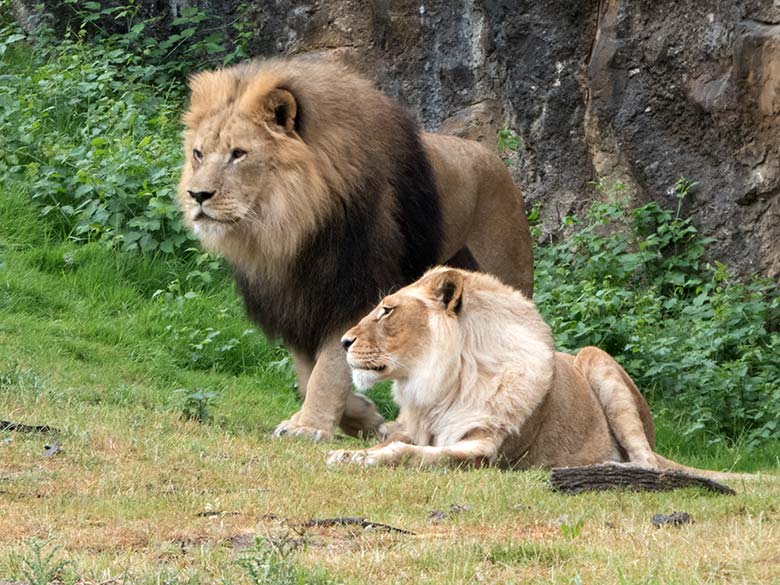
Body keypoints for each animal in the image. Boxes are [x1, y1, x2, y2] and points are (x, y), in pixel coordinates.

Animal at [177, 58, 532, 438]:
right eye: (198, 154)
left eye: (238, 154)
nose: (197, 195)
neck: (288, 231)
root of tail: (496, 161)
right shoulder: (297, 305)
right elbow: (309, 373)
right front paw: (363, 418)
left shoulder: (354, 290)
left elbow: (330, 368)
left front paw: (310, 426)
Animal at [326, 266, 748, 480]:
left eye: (387, 310)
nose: (344, 341)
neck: (440, 388)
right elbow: (392, 442)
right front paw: (348, 453)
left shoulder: (482, 451)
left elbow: (407, 453)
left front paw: (360, 460)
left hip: (596, 359)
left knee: (648, 463)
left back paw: (606, 466)